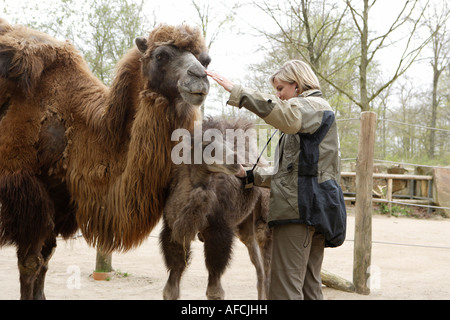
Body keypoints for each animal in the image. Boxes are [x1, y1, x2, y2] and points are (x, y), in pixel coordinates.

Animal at [0, 18, 210, 300]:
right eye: (161, 55)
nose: (199, 78)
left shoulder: (60, 200)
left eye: (206, 60)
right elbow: (30, 263)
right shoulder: (27, 194)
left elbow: (45, 260)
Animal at [163, 117, 274, 300]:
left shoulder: (219, 229)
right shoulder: (173, 230)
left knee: (266, 262)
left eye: (225, 142)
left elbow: (214, 291)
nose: (237, 162)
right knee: (259, 268)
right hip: (244, 226)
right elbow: (170, 290)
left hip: (263, 215)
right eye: (206, 144)